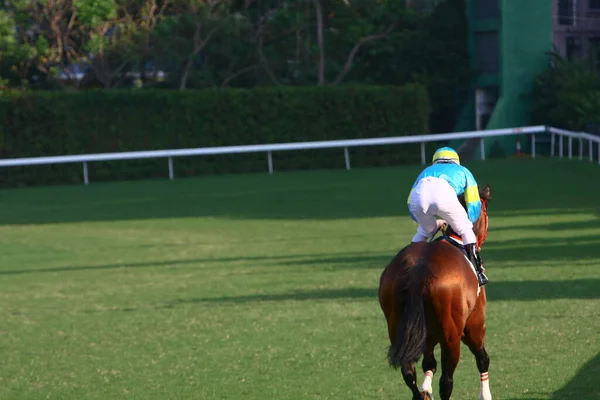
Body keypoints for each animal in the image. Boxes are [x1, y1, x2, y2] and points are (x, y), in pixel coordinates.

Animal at [380, 184, 492, 400]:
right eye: (484, 209)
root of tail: (419, 269)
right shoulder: (473, 323)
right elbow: (482, 358)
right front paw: (486, 395)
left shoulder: (426, 332)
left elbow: (428, 364)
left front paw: (426, 390)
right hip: (452, 336)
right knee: (446, 382)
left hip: (397, 326)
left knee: (408, 371)